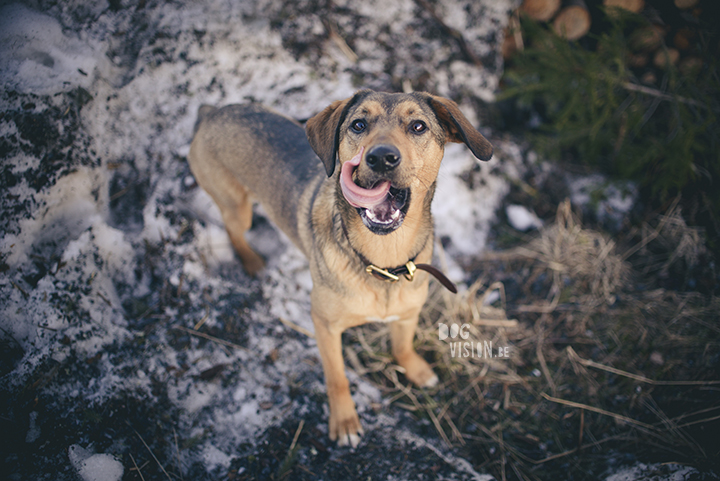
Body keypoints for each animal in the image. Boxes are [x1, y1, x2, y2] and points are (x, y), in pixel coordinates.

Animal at [188, 90, 492, 446]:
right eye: (358, 124)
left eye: (418, 126)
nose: (381, 157)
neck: (382, 259)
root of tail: (211, 113)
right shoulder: (324, 325)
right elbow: (337, 378)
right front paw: (345, 422)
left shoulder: (407, 314)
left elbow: (402, 346)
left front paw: (416, 371)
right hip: (236, 206)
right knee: (234, 230)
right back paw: (251, 262)